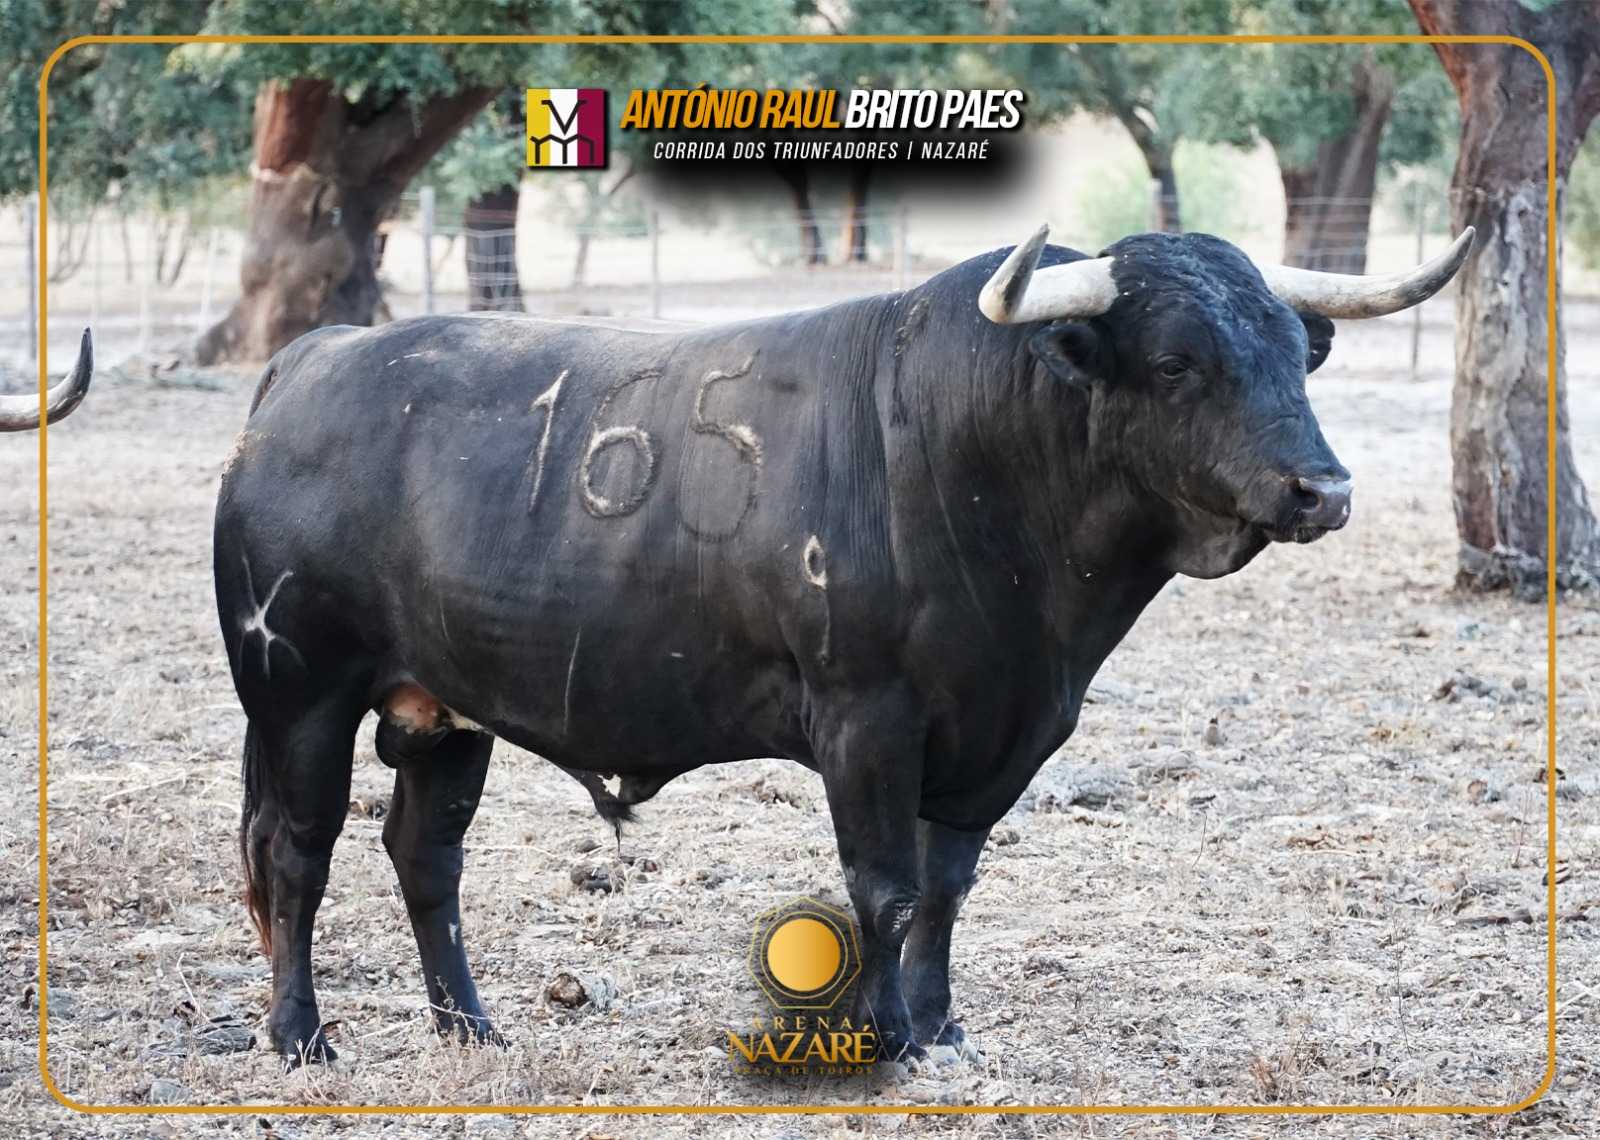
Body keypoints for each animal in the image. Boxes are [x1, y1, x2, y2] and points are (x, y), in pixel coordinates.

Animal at [214, 224, 1472, 1068]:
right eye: (1175, 361)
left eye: (1296, 353)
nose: (1322, 490)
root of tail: (313, 362)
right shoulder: (866, 720)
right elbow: (886, 888)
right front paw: (882, 1035)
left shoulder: (998, 737)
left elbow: (946, 886)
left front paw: (941, 1026)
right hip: (298, 696)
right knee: (295, 856)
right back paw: (301, 1036)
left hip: (441, 711)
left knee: (424, 856)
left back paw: (471, 1027)